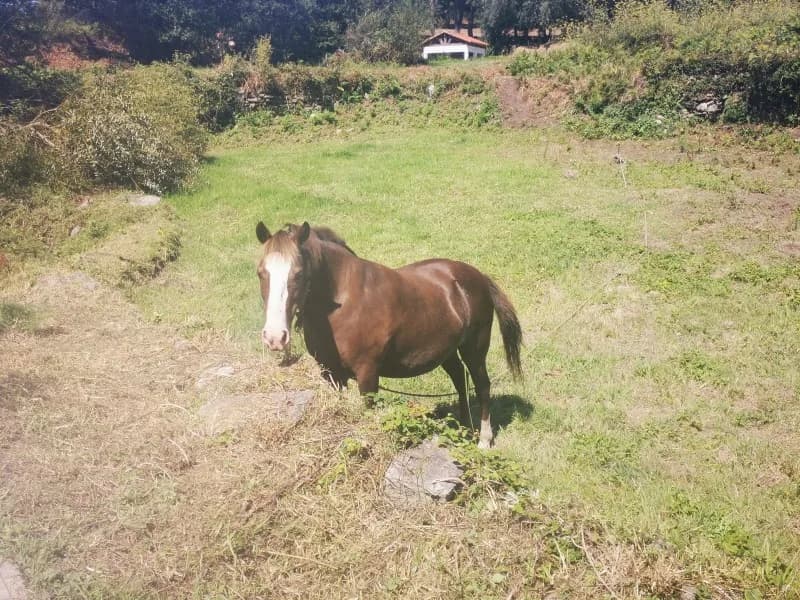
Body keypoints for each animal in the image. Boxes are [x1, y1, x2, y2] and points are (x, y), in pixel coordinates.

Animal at [255, 221, 523, 448]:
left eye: (298, 273)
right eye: (260, 272)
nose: (275, 337)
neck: (344, 302)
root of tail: (478, 277)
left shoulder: (367, 374)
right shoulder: (330, 373)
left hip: (475, 348)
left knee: (482, 385)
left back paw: (484, 440)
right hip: (447, 351)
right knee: (460, 378)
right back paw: (464, 428)